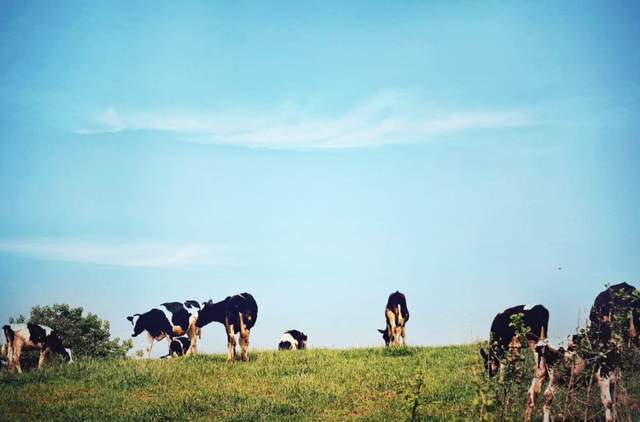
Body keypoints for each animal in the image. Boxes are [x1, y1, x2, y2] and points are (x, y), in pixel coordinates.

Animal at [528, 284, 640, 422]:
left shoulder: (613, 380)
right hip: (555, 376)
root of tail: (542, 343)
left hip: (545, 374)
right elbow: (608, 403)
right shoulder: (602, 377)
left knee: (536, 396)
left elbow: (614, 404)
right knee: (547, 397)